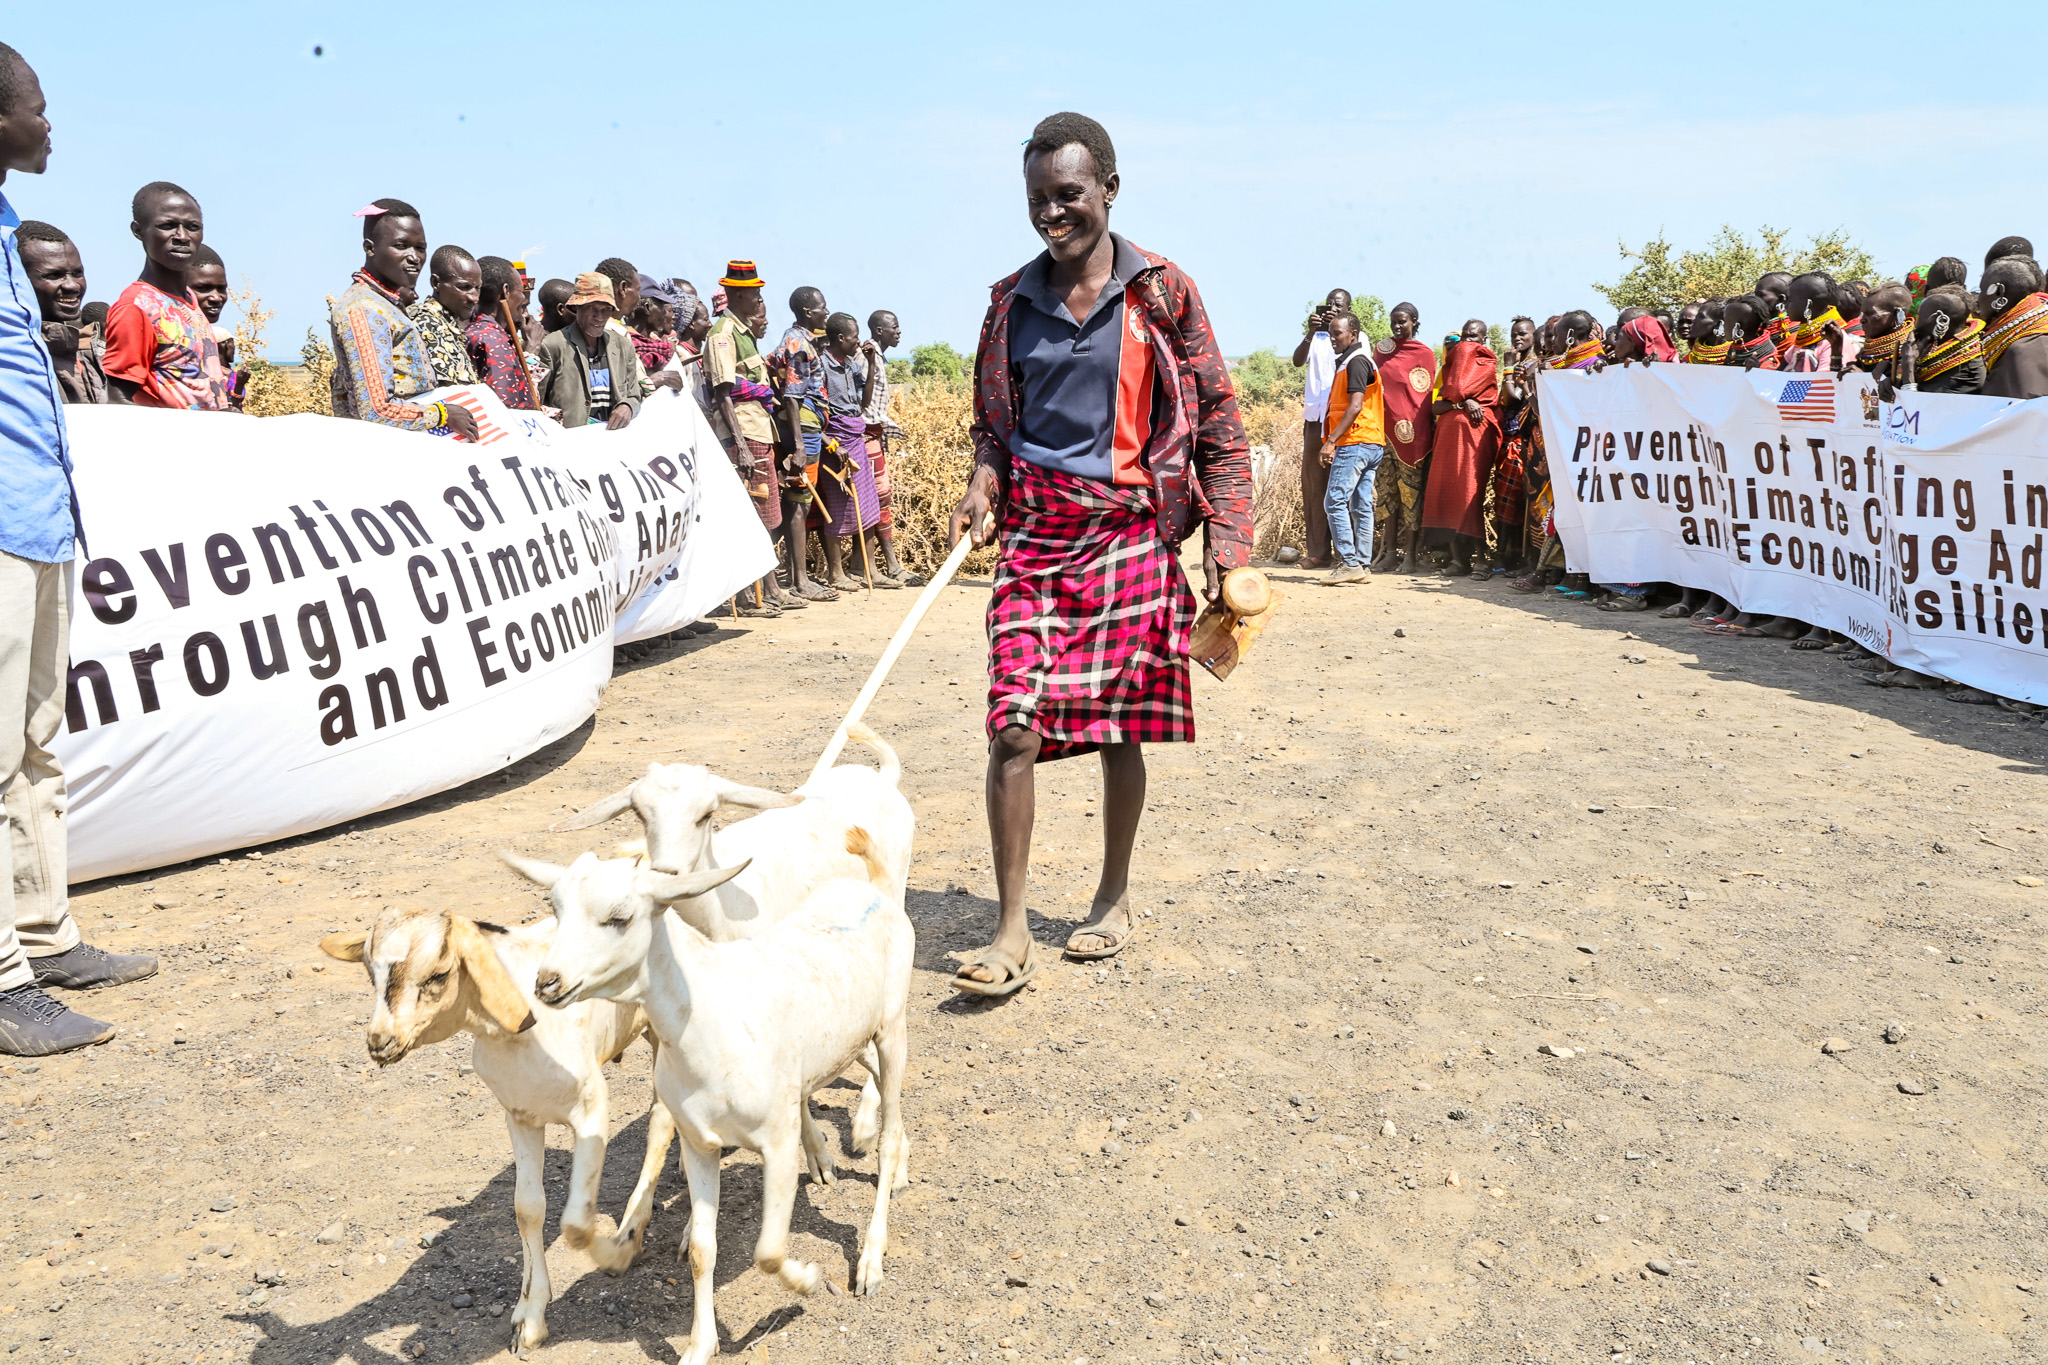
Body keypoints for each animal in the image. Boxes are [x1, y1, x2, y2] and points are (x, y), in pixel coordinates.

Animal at [315, 875, 741, 1358]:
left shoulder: (592, 1110)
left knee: (662, 1121)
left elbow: (575, 1224)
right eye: (371, 974)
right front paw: (530, 1317)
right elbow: (527, 1209)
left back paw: (641, 1226)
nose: (380, 1042)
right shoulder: (519, 1114)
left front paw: (616, 1255)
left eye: (438, 974)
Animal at [505, 839, 913, 1358]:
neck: (710, 1017)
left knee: (889, 1127)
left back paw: (873, 1252)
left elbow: (769, 1252)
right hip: (848, 1041)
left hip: (892, 1026)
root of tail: (873, 889)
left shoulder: (777, 1143)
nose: (547, 983)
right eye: (555, 909)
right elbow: (703, 1250)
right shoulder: (699, 1141)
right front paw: (699, 1345)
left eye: (619, 917)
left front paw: (806, 1280)